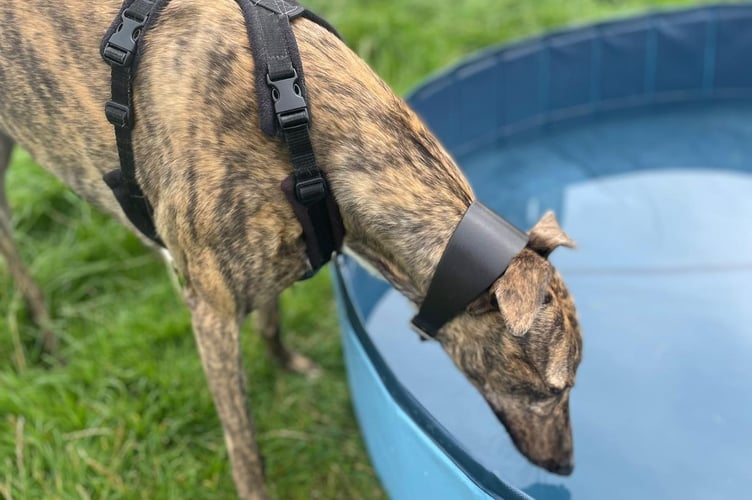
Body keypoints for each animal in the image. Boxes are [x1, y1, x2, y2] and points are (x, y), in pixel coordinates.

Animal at [0, 1, 580, 498]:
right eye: (551, 390)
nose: (568, 466)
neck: (297, 121)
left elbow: (272, 318)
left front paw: (286, 362)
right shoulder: (210, 312)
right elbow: (245, 446)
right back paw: (46, 334)